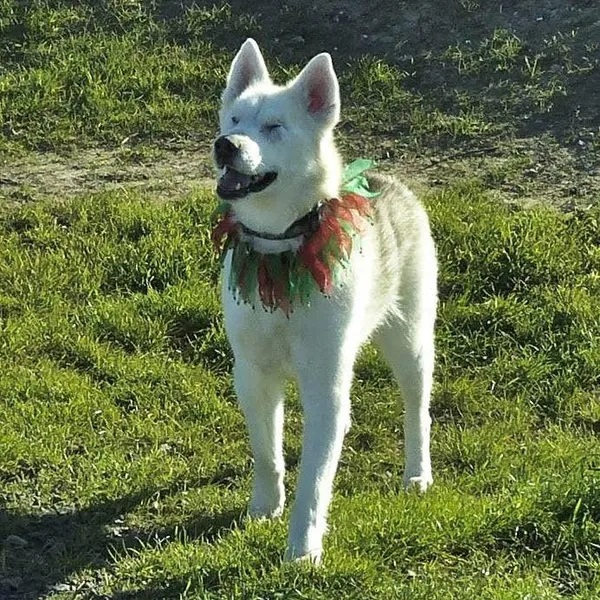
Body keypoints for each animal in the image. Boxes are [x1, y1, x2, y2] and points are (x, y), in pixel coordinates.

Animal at [213, 37, 438, 564]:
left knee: (417, 410)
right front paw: (265, 506)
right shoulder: (252, 374)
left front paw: (303, 546)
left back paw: (417, 473)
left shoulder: (326, 387)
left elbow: (314, 479)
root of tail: (388, 183)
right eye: (233, 120)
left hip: (412, 343)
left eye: (274, 127)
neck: (280, 245)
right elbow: (267, 453)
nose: (226, 146)